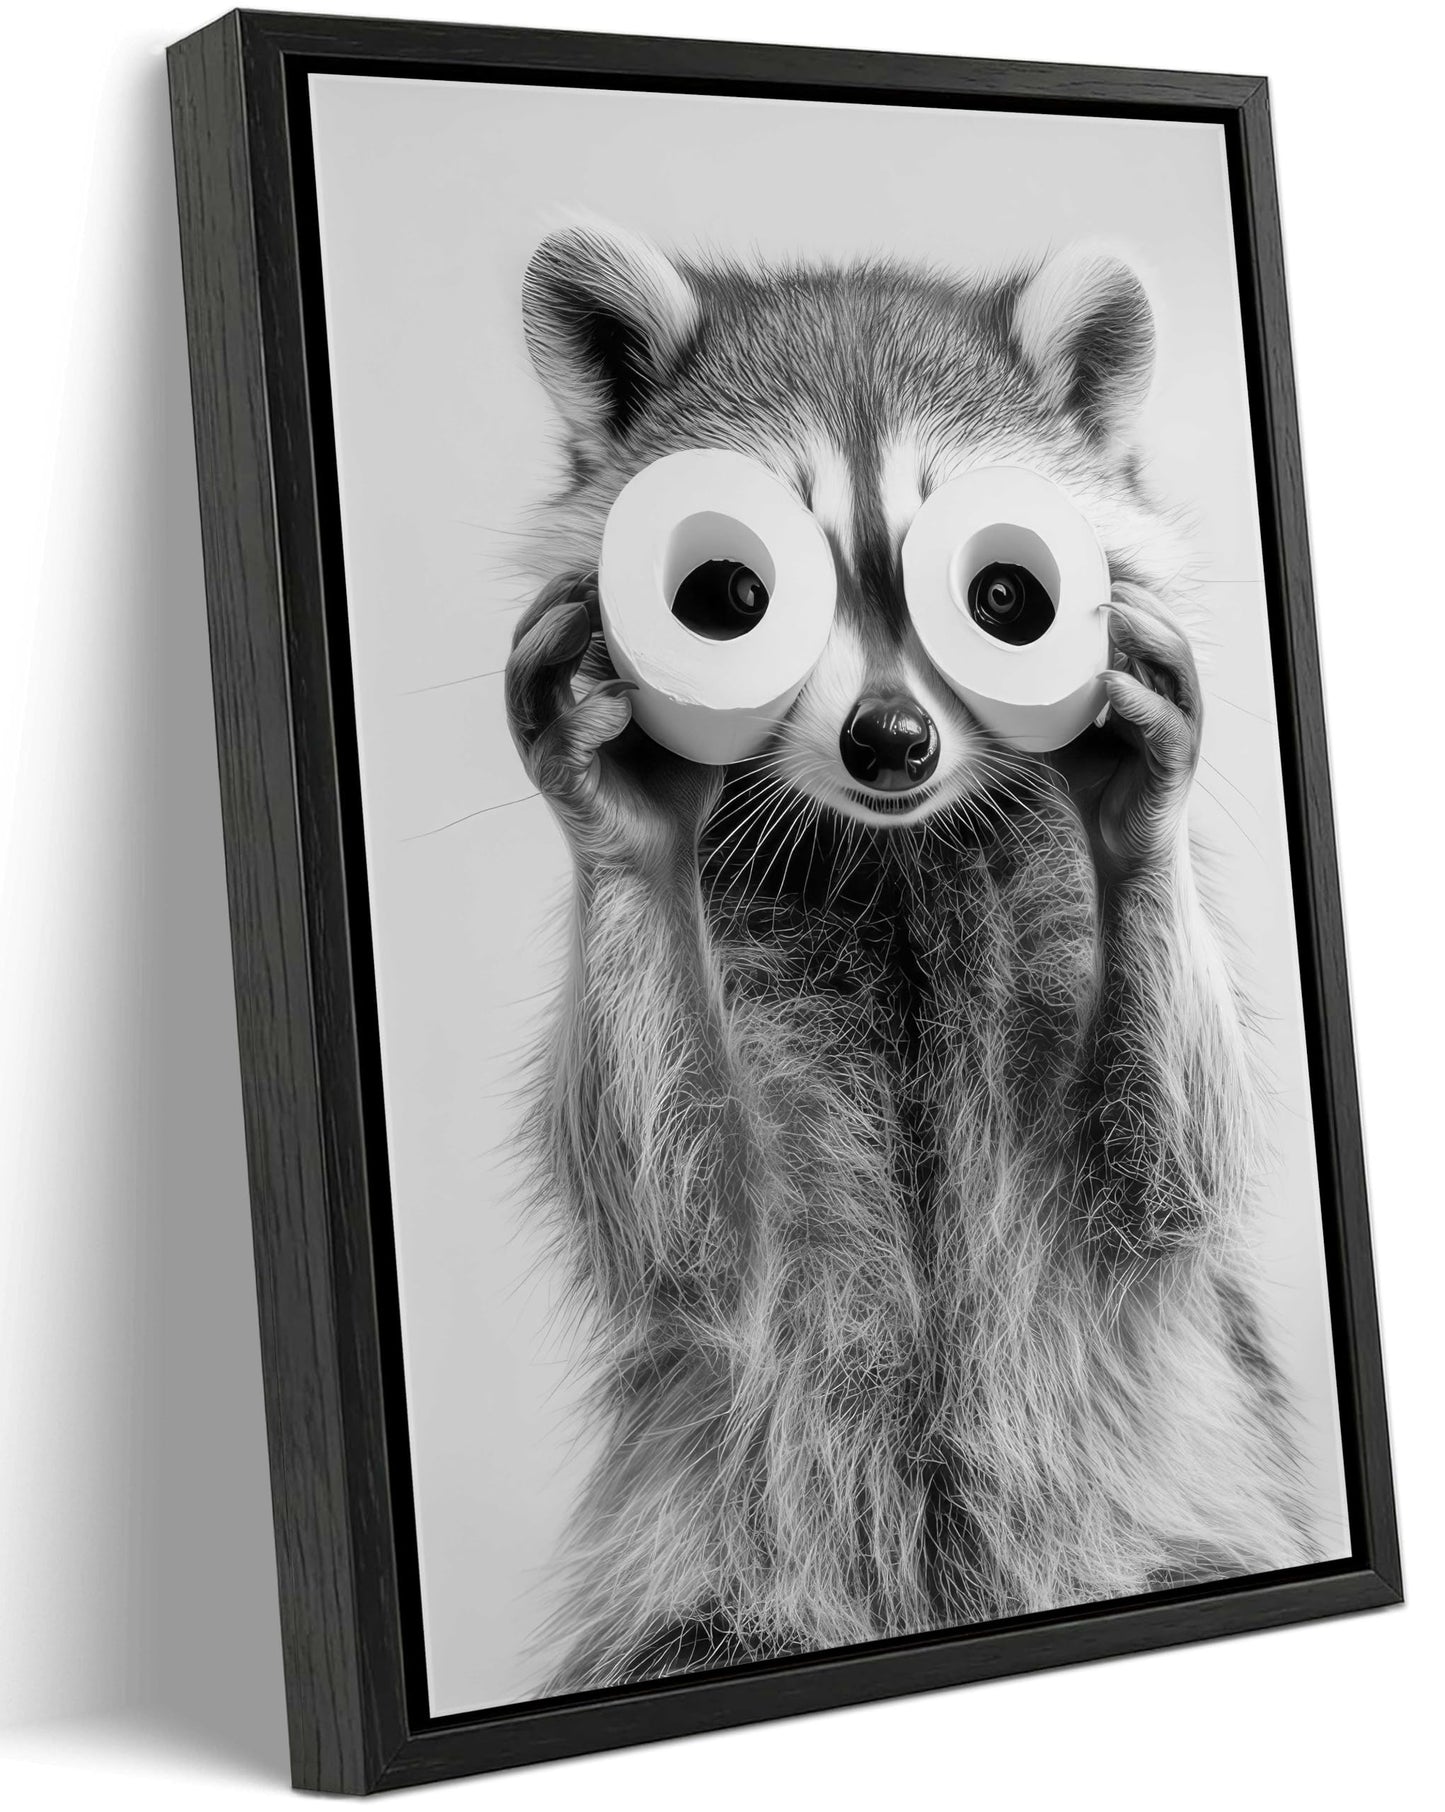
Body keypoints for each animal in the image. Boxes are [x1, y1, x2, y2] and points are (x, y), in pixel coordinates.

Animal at [505, 222, 1317, 1695]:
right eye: (730, 596)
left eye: (1003, 596)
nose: (891, 741)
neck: (892, 850)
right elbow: (692, 1232)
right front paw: (621, 823)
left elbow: (1162, 1175)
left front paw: (1145, 817)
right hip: (715, 1589)